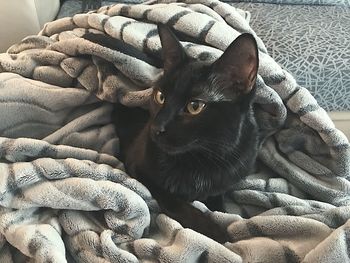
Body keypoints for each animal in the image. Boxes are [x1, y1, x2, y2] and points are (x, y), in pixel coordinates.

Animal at [112, 24, 260, 243]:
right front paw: (215, 231)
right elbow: (175, 201)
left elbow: (218, 202)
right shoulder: (137, 167)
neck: (201, 158)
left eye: (194, 106)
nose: (155, 128)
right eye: (160, 96)